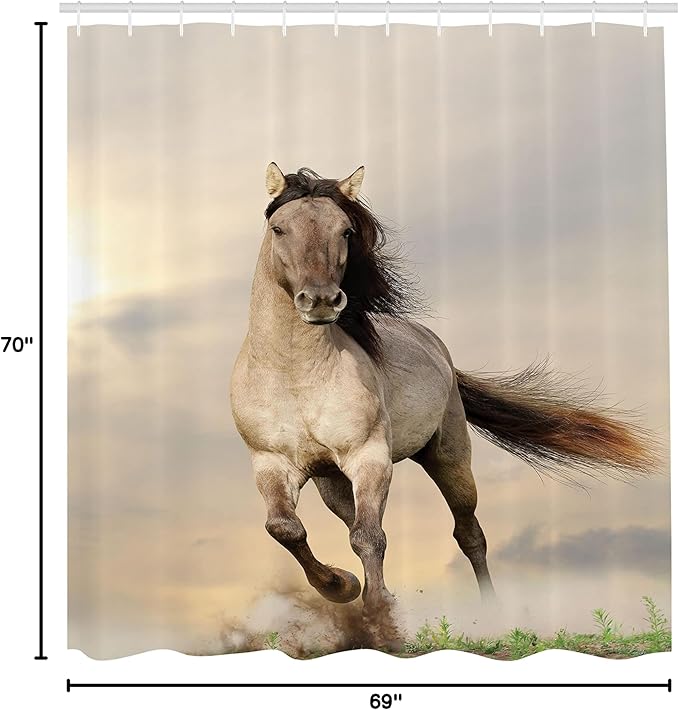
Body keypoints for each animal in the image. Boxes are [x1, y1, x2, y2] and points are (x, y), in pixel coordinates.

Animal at [230, 163, 656, 644]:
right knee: (352, 522)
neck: (294, 374)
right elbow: (286, 529)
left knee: (468, 534)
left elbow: (369, 537)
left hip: (449, 457)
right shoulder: (271, 463)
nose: (321, 300)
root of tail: (439, 350)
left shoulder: (369, 458)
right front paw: (342, 586)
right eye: (279, 228)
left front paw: (381, 621)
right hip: (331, 482)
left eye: (345, 231)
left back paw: (491, 614)